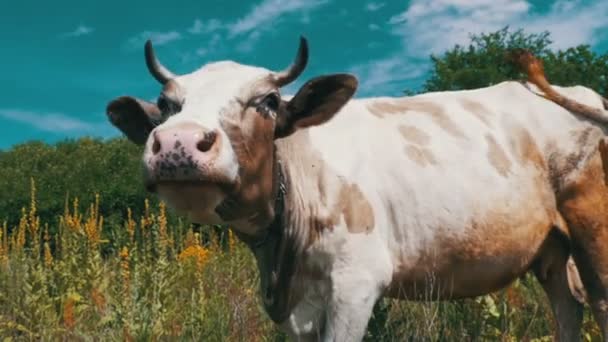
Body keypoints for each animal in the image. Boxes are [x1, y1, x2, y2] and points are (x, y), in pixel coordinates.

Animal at [107, 36, 608, 340]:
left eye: (268, 101)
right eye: (166, 105)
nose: (178, 142)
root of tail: (583, 93)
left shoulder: (357, 282)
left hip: (593, 228)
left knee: (599, 300)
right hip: (552, 251)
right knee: (568, 308)